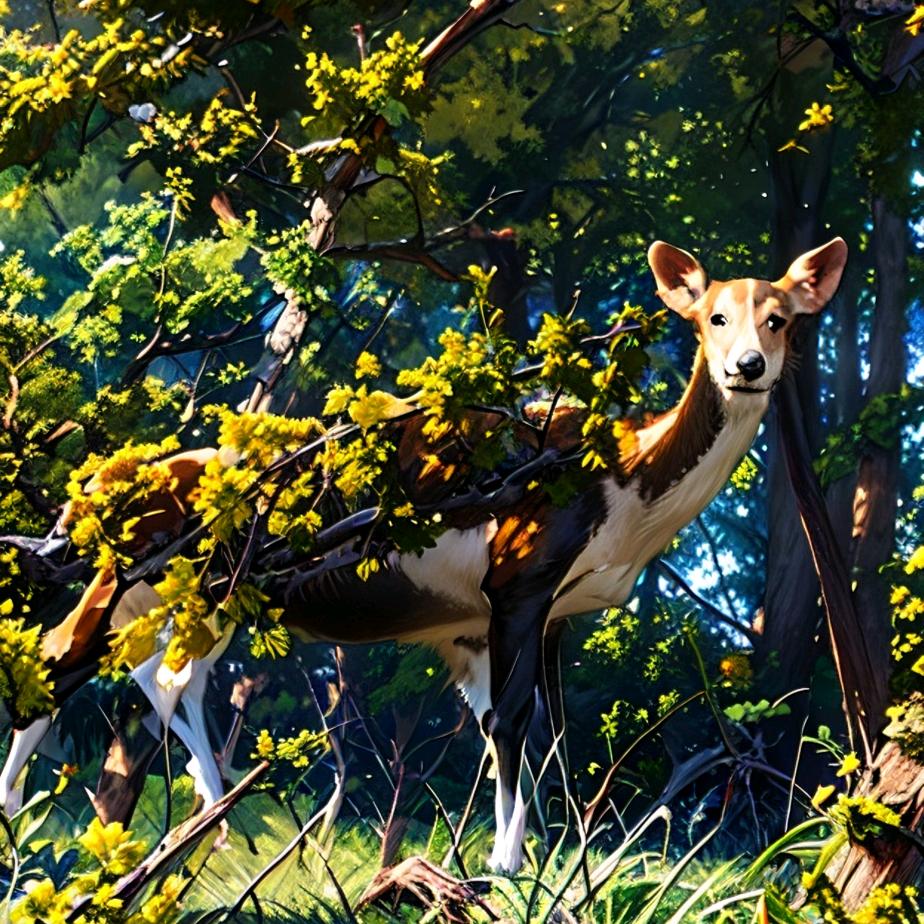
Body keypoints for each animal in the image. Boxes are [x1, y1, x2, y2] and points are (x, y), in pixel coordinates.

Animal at [0, 237, 847, 874]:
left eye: (781, 319)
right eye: (713, 316)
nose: (746, 366)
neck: (625, 487)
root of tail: (99, 483)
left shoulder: (530, 614)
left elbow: (543, 728)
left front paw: (552, 856)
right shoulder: (520, 574)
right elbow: (512, 718)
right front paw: (506, 864)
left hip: (177, 593)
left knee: (111, 664)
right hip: (166, 579)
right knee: (115, 669)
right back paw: (195, 825)